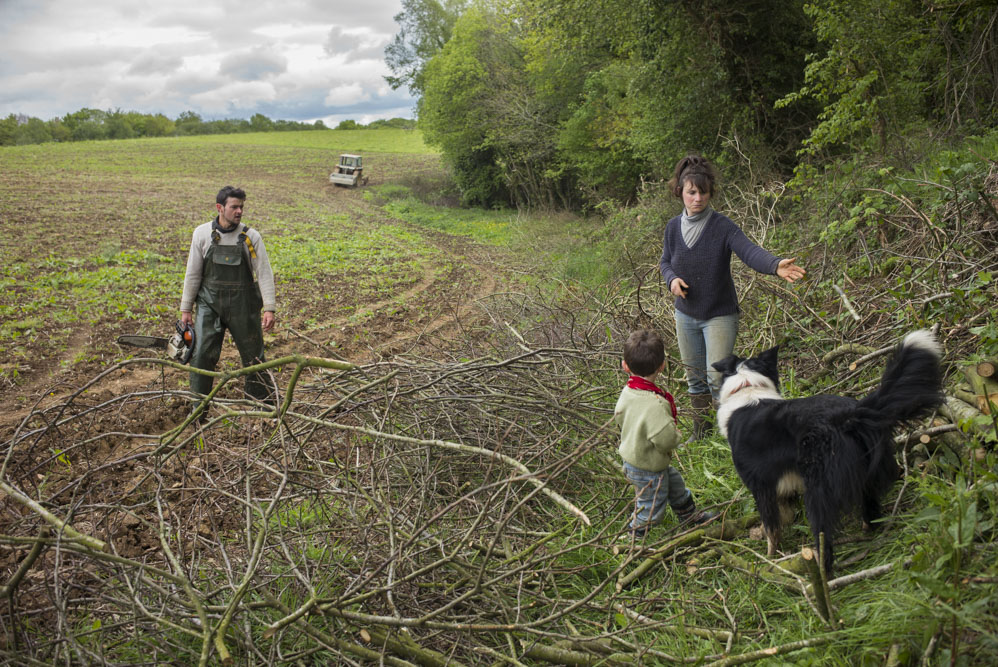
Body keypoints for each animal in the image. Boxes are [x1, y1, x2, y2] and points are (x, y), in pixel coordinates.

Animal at [716, 332, 940, 572]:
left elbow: (771, 527)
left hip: (818, 491)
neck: (747, 387)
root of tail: (851, 414)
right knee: (870, 510)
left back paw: (822, 567)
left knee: (824, 535)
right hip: (866, 475)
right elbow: (783, 516)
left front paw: (770, 558)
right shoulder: (785, 485)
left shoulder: (760, 484)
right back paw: (867, 535)